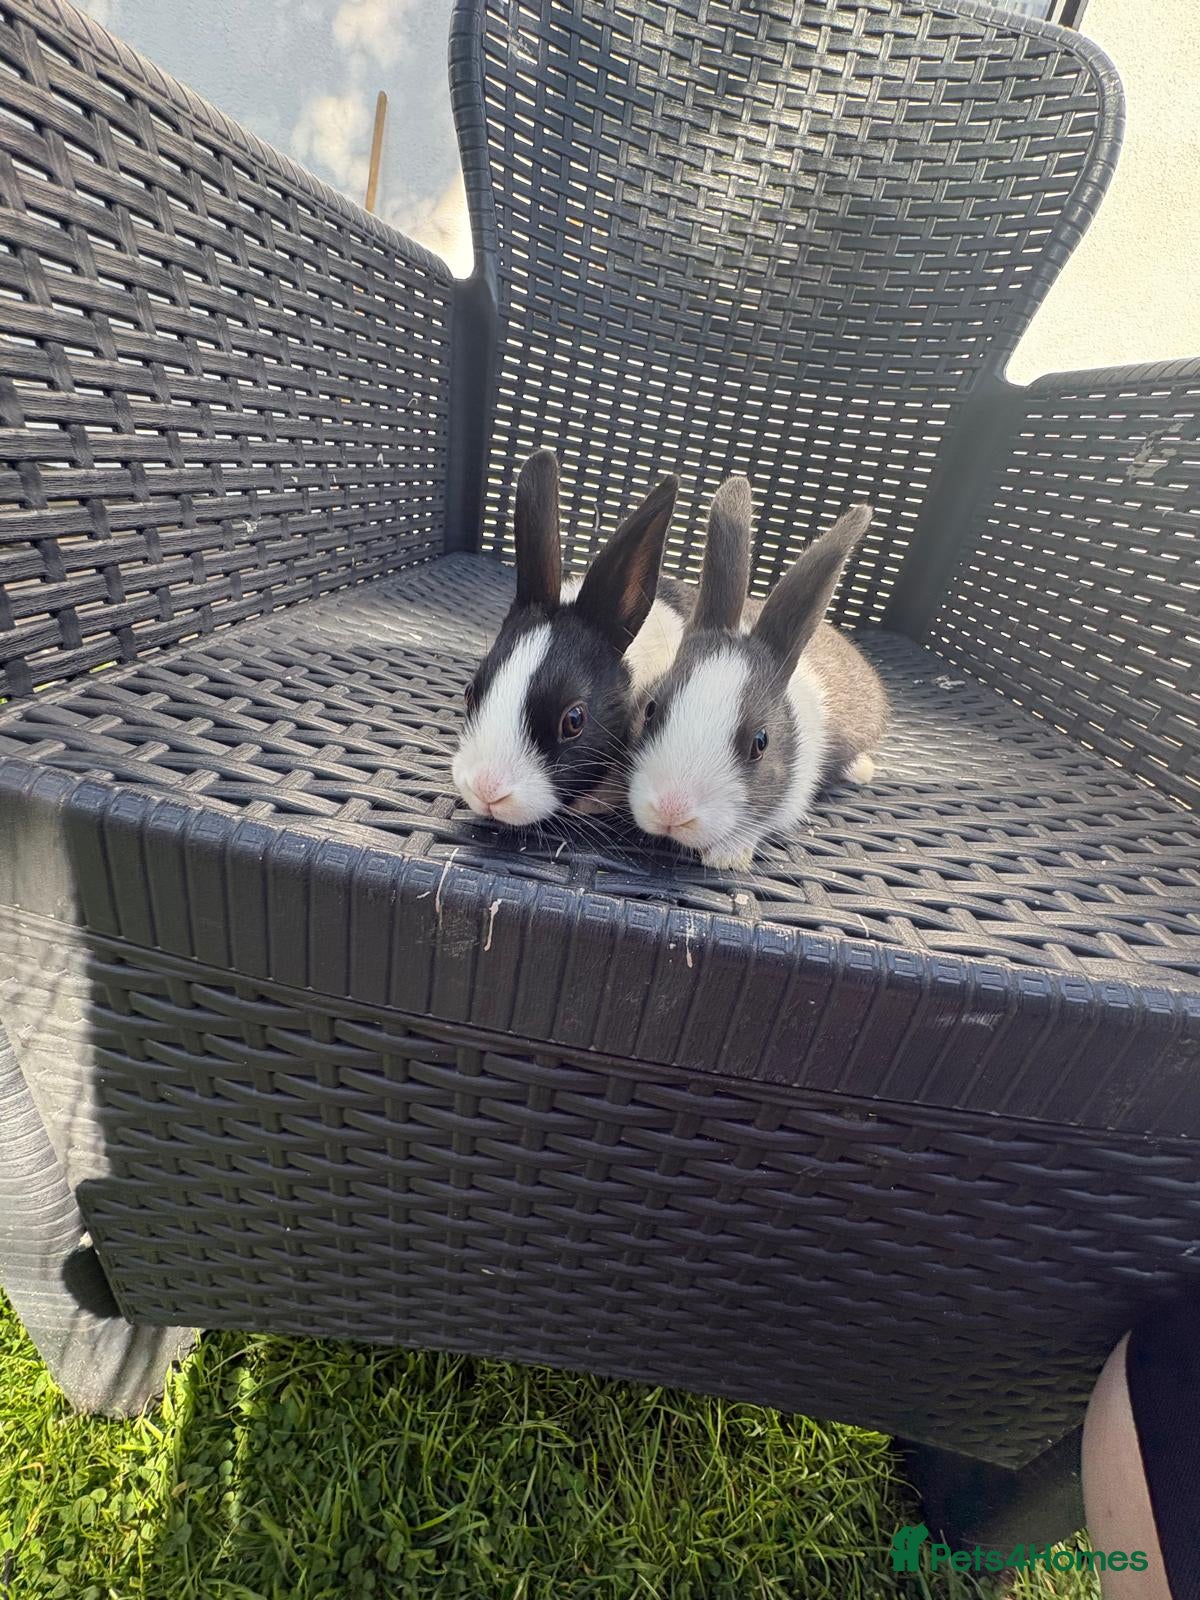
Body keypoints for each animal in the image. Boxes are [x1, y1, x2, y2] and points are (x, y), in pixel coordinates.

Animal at [627, 475, 889, 870]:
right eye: (651, 710)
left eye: (760, 743)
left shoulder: (794, 791)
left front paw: (727, 857)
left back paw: (862, 770)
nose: (672, 811)